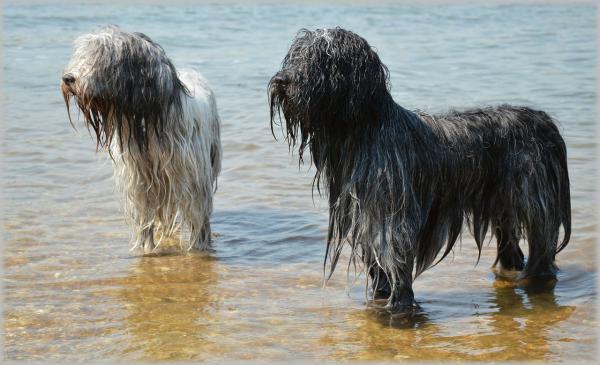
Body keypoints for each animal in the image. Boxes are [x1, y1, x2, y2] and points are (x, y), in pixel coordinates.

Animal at [61, 25, 221, 252]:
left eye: (102, 57)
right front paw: (147, 250)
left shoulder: (192, 180)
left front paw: (198, 250)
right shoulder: (139, 180)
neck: (147, 119)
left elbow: (197, 218)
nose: (68, 78)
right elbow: (145, 219)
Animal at [268, 29, 572, 312]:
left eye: (319, 58)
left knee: (542, 250)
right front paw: (382, 297)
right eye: (295, 56)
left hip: (534, 200)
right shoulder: (368, 217)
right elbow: (379, 266)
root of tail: (543, 120)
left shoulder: (393, 218)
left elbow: (396, 261)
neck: (365, 130)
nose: (281, 81)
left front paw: (398, 309)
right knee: (511, 247)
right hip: (503, 206)